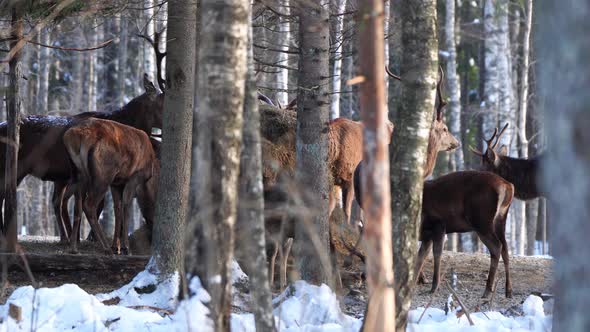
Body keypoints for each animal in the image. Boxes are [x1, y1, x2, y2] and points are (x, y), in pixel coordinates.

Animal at [63, 118, 160, 254]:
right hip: (103, 176)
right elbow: (126, 206)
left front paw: (117, 246)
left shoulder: (116, 183)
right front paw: (126, 248)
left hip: (78, 173)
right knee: (88, 205)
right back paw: (105, 246)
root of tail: (76, 136)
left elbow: (117, 209)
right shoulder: (134, 177)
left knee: (77, 205)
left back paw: (74, 247)